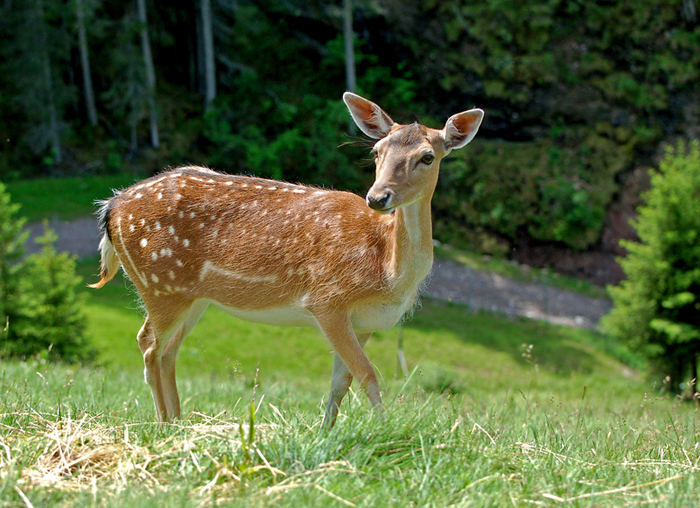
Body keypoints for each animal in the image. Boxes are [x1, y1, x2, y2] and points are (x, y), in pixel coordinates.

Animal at [89, 93, 482, 426]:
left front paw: (327, 435)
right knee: (149, 345)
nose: (377, 197)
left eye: (427, 157)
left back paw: (179, 422)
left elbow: (340, 384)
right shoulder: (327, 300)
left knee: (168, 350)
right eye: (376, 152)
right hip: (161, 284)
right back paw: (165, 424)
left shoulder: (365, 322)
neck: (388, 271)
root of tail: (112, 206)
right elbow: (369, 375)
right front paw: (385, 433)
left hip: (193, 297)